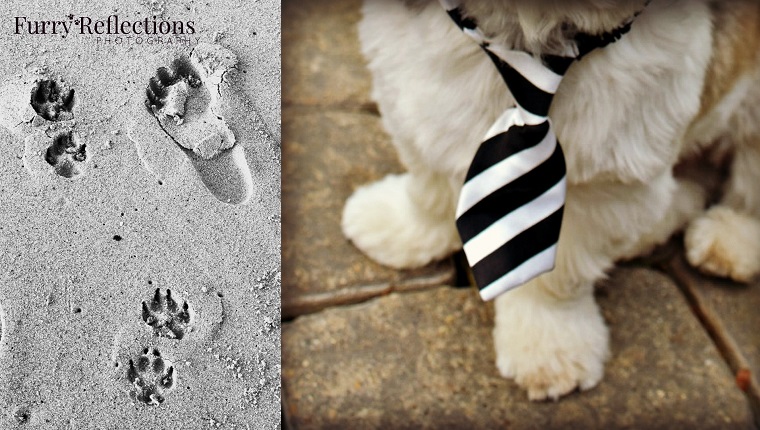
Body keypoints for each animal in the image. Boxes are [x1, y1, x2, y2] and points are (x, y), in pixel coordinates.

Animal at [342, 0, 760, 402]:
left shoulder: (614, 168)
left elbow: (558, 272)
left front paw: (549, 343)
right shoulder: (410, 83)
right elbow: (427, 177)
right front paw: (399, 227)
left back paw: (731, 237)